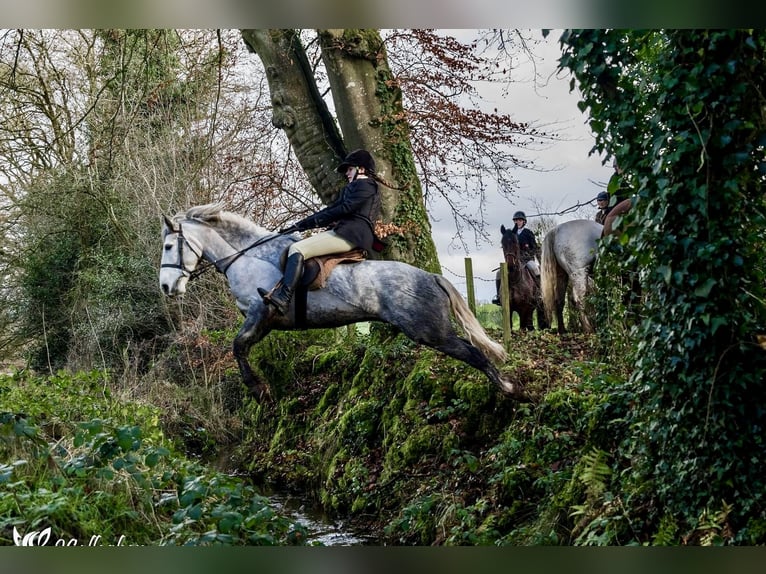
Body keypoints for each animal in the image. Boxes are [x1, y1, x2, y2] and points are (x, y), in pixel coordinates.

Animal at [159, 205, 532, 402]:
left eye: (168, 246)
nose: (165, 287)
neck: (248, 256)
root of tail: (430, 277)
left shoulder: (258, 312)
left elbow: (237, 346)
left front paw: (258, 388)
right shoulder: (265, 321)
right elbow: (241, 348)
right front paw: (260, 385)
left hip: (430, 331)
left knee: (473, 353)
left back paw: (508, 387)